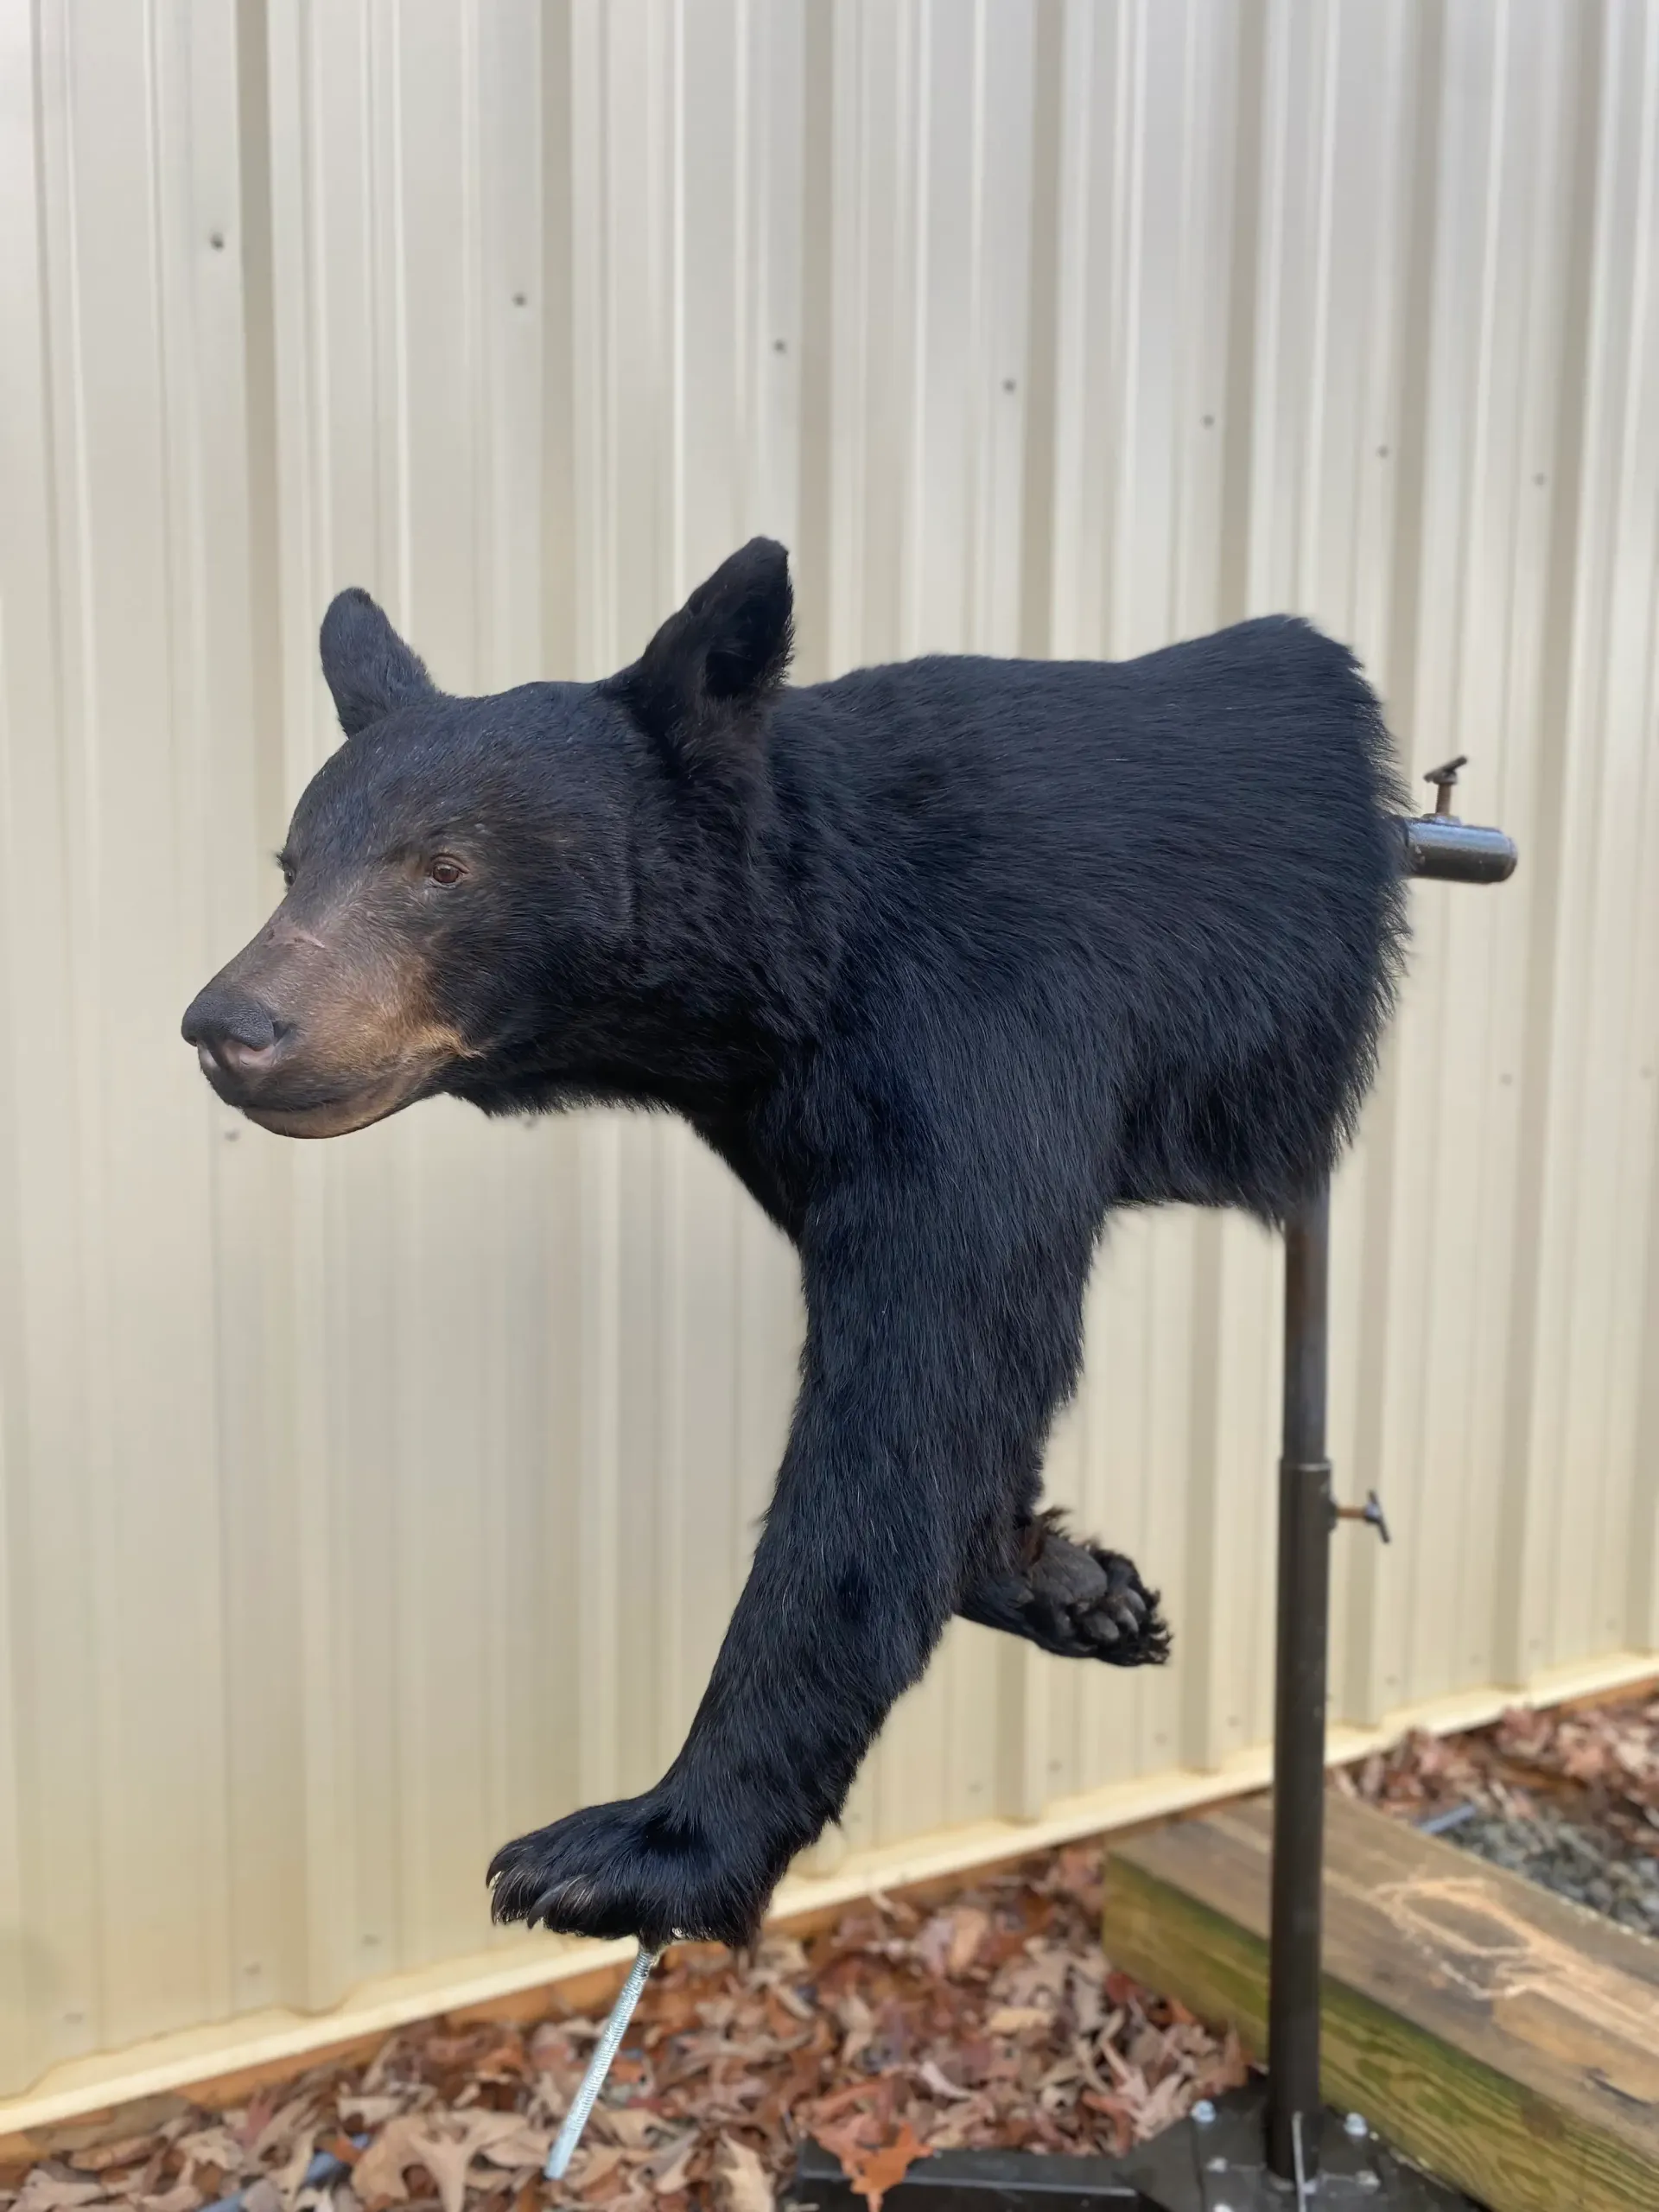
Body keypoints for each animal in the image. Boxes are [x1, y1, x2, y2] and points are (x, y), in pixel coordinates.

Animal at [182, 539, 1405, 1949]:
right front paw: (1063, 1577)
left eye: (444, 867)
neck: (791, 973)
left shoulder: (982, 1021)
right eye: (291, 863)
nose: (229, 1024)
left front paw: (638, 1845)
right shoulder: (794, 1118)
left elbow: (919, 1381)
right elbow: (968, 1379)